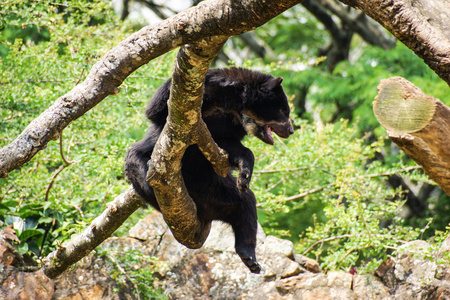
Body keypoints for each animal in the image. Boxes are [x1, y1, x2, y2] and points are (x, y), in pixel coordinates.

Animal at [125, 67, 296, 274]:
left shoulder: (228, 130)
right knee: (136, 163)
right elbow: (156, 108)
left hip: (216, 188)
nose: (291, 130)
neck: (235, 109)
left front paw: (244, 174)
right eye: (283, 110)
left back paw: (250, 258)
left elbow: (231, 147)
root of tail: (204, 213)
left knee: (246, 205)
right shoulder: (209, 90)